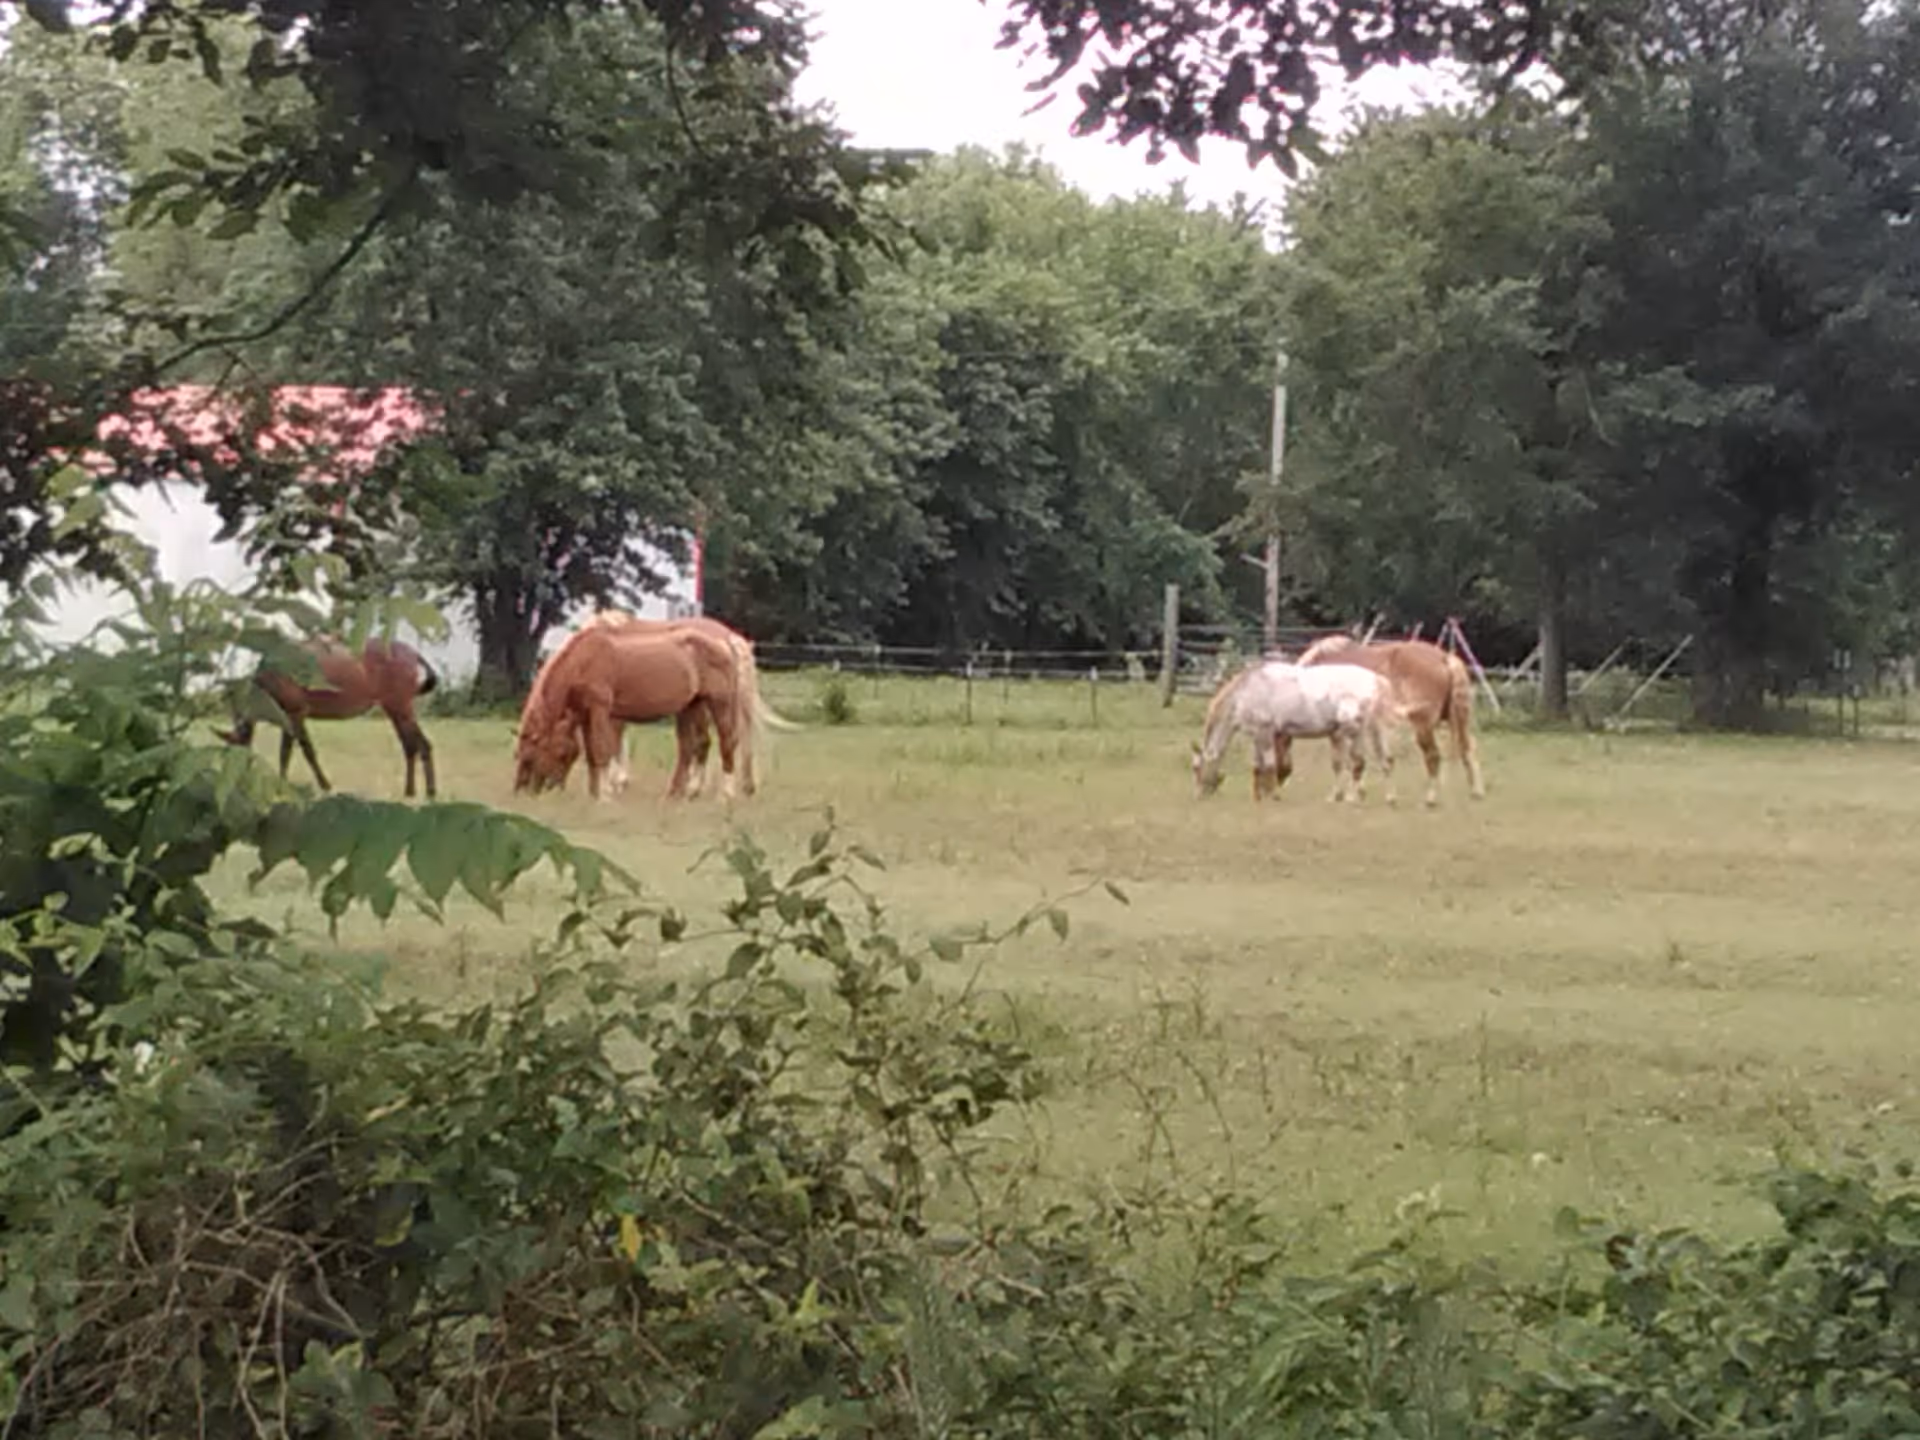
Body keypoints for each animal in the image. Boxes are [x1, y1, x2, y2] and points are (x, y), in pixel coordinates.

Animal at [215, 636, 438, 798]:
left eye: (239, 750)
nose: (239, 786)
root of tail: (413, 653)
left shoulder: (294, 713)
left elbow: (293, 751)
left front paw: (285, 787)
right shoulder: (294, 716)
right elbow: (304, 750)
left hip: (400, 708)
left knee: (416, 744)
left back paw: (420, 791)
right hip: (397, 710)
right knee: (416, 745)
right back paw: (418, 791)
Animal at [517, 612, 795, 800]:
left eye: (530, 757)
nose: (521, 790)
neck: (585, 658)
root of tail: (727, 640)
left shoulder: (604, 710)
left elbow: (607, 746)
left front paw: (611, 789)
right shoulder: (593, 713)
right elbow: (598, 750)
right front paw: (604, 789)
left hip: (719, 703)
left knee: (728, 741)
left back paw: (726, 793)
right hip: (694, 706)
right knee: (698, 744)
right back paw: (688, 791)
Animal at [1191, 659, 1398, 805]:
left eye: (1196, 768)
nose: (1199, 795)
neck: (1245, 691)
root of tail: (1376, 679)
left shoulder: (1265, 732)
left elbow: (1269, 765)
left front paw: (1274, 796)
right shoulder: (1257, 736)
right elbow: (1257, 766)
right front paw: (1258, 797)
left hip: (1354, 731)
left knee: (1360, 762)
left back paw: (1351, 797)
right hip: (1367, 731)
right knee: (1381, 760)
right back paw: (1382, 798)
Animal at [1297, 634, 1485, 806]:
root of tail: (1443, 658)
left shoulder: (1340, 730)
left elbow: (1343, 761)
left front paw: (1341, 795)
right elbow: (1367, 760)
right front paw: (1360, 794)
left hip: (1423, 726)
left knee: (1433, 756)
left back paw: (1430, 798)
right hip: (1458, 721)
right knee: (1467, 750)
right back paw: (1476, 792)